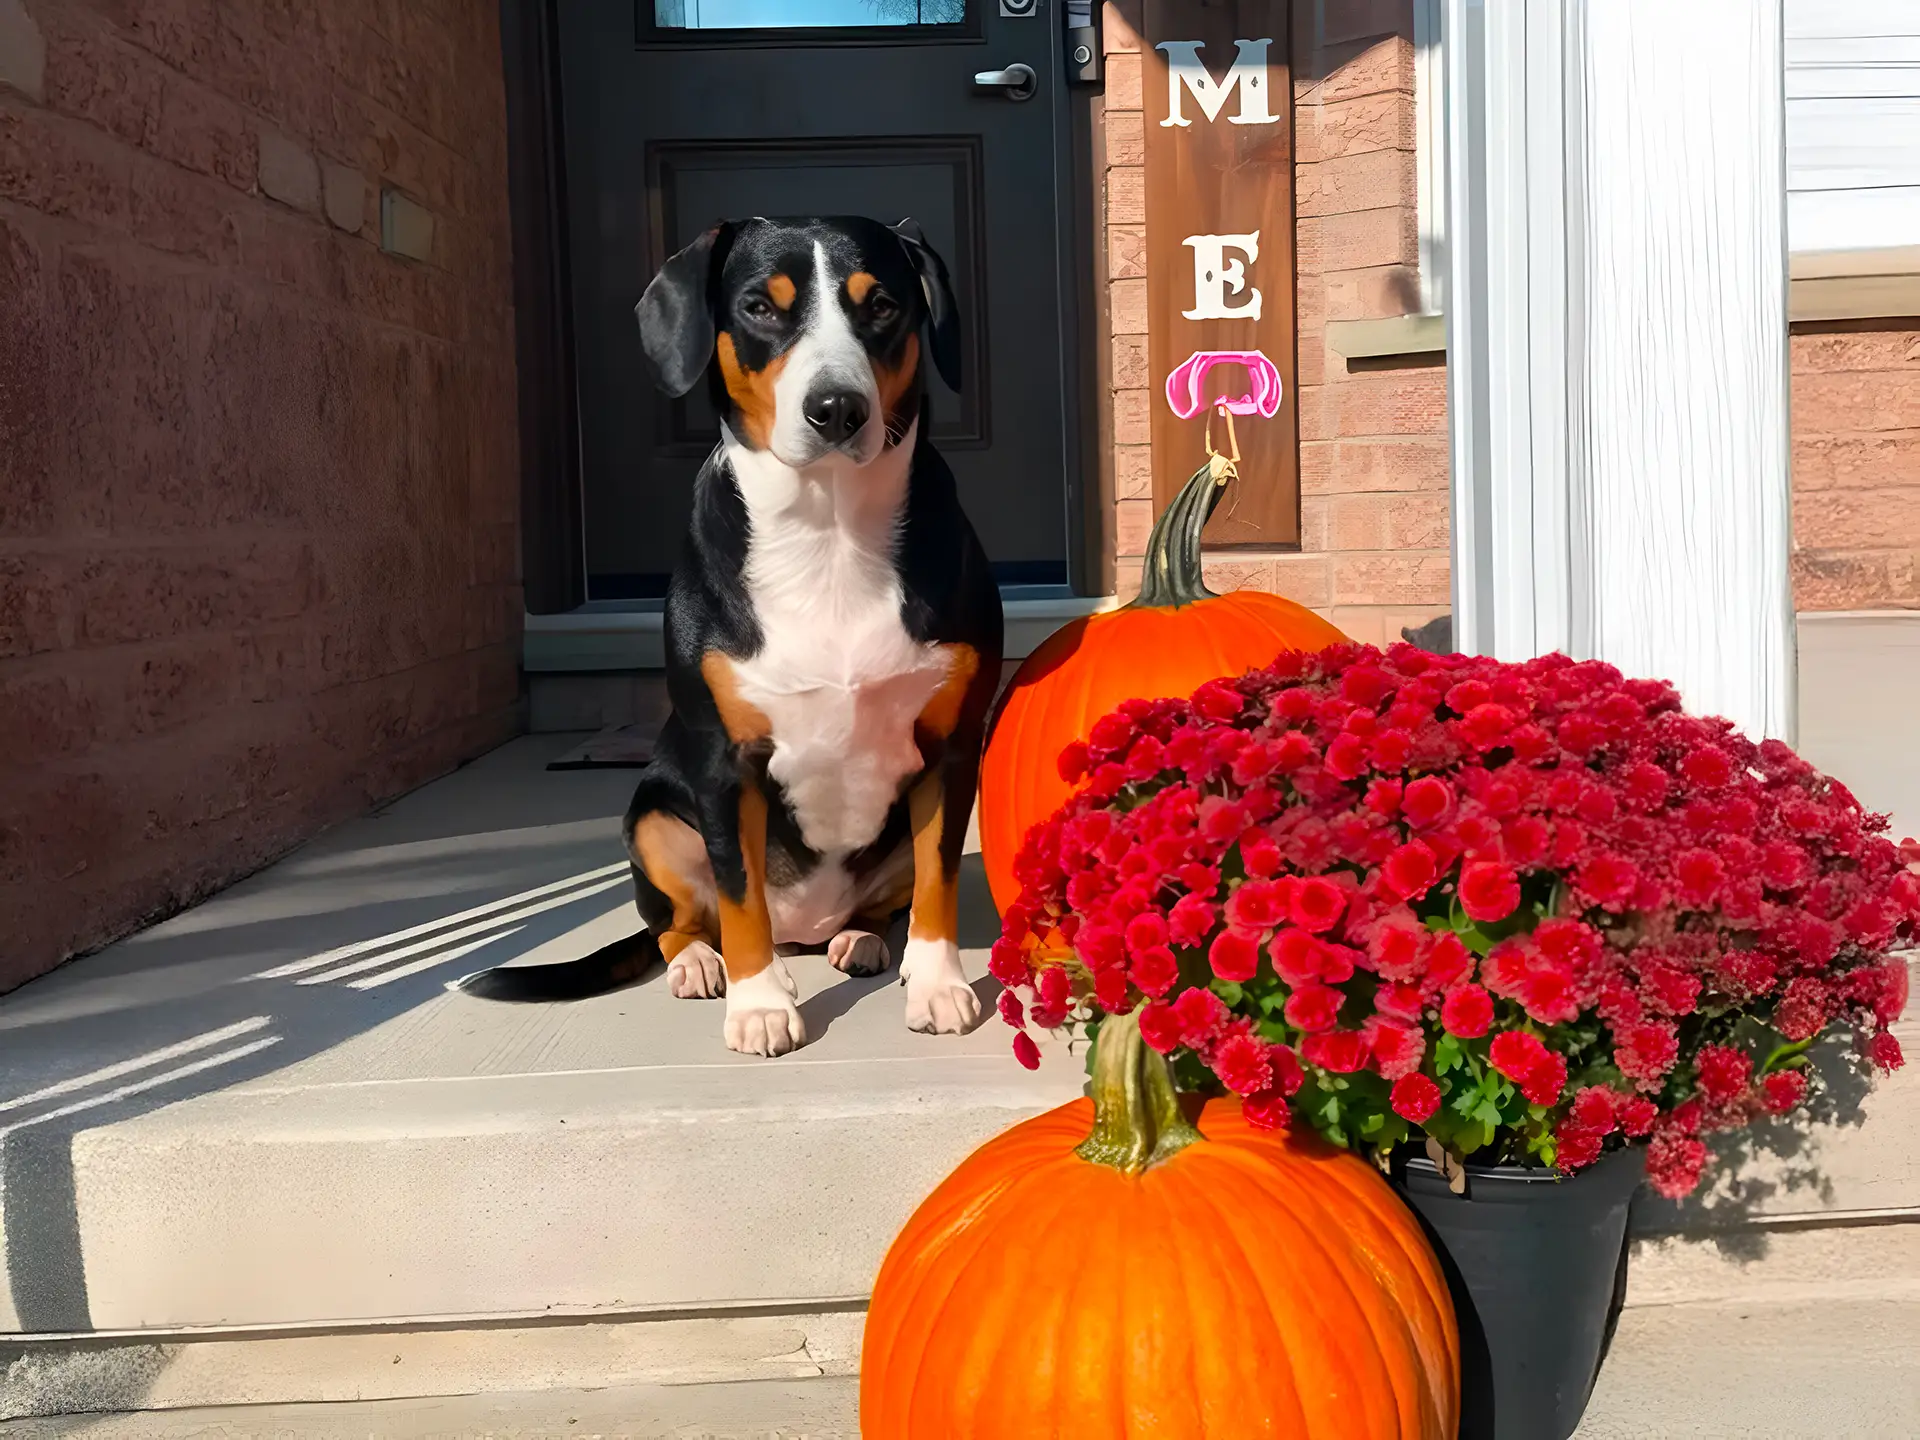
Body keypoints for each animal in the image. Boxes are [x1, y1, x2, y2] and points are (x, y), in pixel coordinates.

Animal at [464, 216, 1006, 1059]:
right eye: (759, 306)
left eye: (883, 306)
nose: (837, 408)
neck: (827, 533)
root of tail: (803, 929)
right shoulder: (723, 763)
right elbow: (739, 892)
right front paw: (759, 1006)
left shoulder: (949, 750)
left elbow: (938, 881)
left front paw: (940, 984)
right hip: (654, 814)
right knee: (685, 920)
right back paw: (702, 964)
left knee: (883, 901)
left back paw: (860, 940)